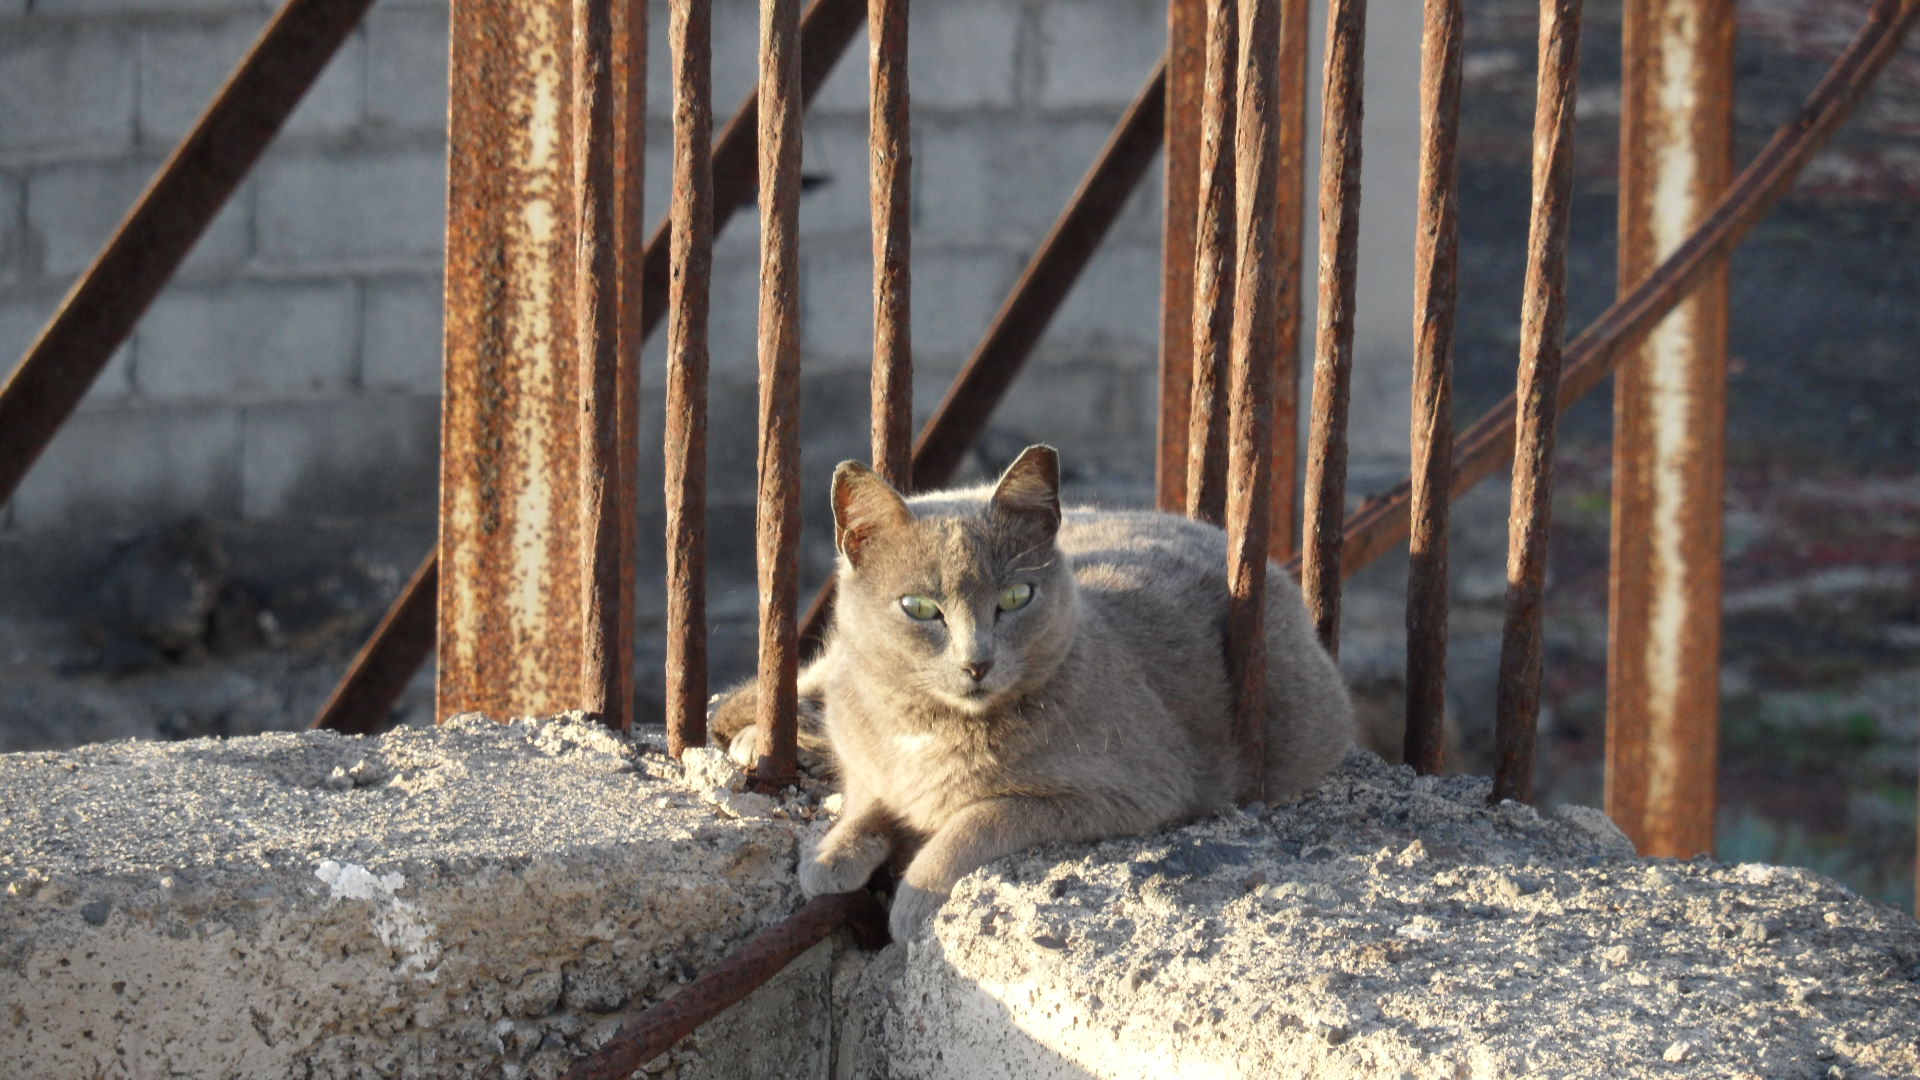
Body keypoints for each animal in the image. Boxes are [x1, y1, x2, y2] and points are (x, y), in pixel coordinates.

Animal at [706, 441, 1351, 937]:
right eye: (920, 608)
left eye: (1017, 597)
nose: (977, 662)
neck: (927, 726)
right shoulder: (870, 752)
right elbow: (868, 794)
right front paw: (831, 854)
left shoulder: (1132, 790)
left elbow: (981, 816)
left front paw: (913, 901)